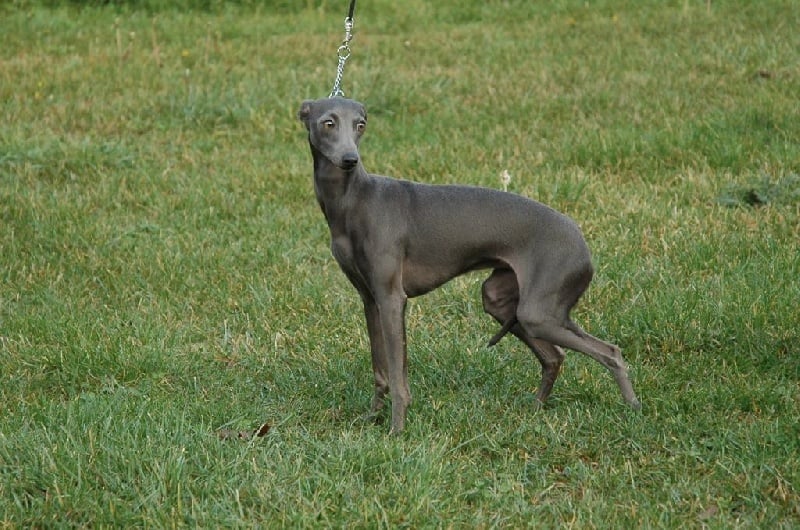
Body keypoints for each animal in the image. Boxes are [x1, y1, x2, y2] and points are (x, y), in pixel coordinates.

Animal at [296, 98, 640, 434]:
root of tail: (582, 243)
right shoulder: (370, 299)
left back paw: (633, 410)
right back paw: (535, 410)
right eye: (328, 123)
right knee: (555, 356)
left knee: (610, 352)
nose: (350, 159)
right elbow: (380, 368)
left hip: (539, 312)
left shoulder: (391, 299)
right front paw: (372, 419)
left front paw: (396, 431)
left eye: (361, 124)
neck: (354, 200)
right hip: (506, 300)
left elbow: (397, 375)